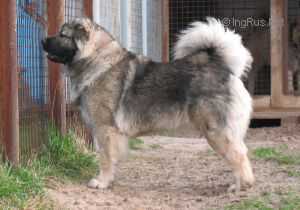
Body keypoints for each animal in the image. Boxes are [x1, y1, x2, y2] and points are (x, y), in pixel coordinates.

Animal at [41, 18, 253, 192]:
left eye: (62, 35)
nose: (42, 40)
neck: (95, 58)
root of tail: (224, 69)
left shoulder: (105, 129)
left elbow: (105, 158)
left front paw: (102, 182)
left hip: (215, 131)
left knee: (239, 155)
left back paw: (242, 186)